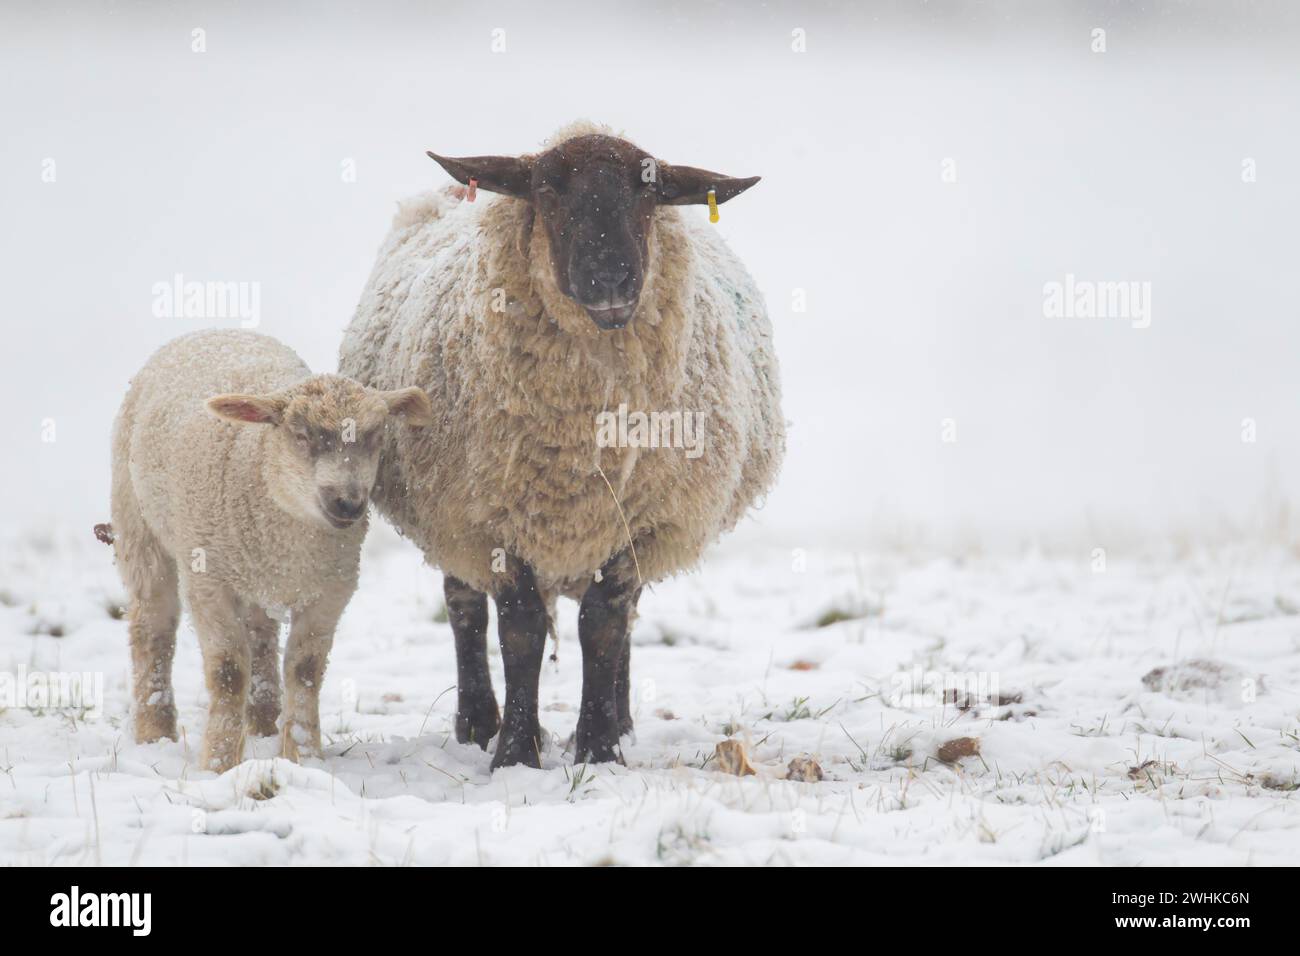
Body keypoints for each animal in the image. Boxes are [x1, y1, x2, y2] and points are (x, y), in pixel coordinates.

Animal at [109, 329, 434, 770]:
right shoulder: (209, 583)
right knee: (152, 626)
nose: (348, 503)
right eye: (301, 435)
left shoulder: (332, 591)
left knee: (261, 636)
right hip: (138, 524)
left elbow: (305, 670)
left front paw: (304, 755)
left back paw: (263, 723)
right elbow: (229, 672)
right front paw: (219, 762)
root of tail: (216, 331)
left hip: (255, 576)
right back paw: (154, 729)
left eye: (376, 436)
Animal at [340, 119, 780, 770]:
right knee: (463, 608)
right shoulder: (492, 517)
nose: (611, 277)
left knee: (623, 618)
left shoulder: (636, 519)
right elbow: (520, 631)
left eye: (650, 192)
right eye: (547, 189)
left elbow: (603, 626)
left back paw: (621, 722)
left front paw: (599, 747)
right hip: (449, 518)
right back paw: (477, 724)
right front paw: (516, 754)